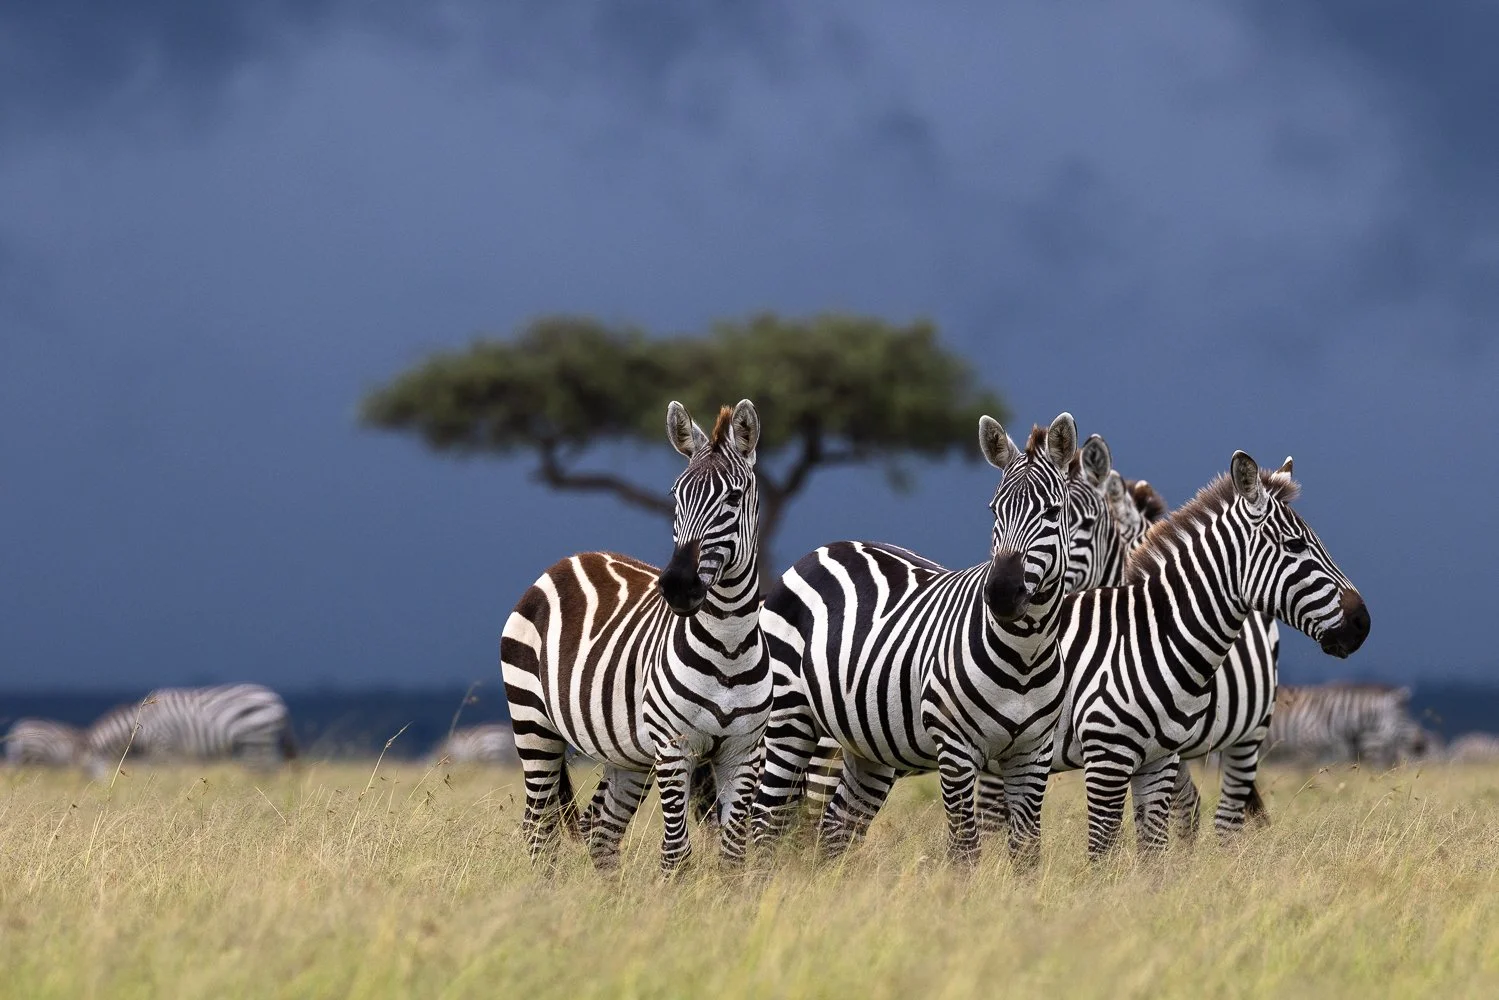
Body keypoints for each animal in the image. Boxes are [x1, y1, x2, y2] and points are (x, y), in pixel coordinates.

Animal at [84, 684, 298, 777]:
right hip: (263, 739)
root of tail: (276, 700)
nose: (96, 790)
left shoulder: (162, 744)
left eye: (86, 770)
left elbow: (161, 772)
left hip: (257, 736)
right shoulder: (172, 750)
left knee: (264, 768)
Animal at [501, 399, 770, 874]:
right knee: (539, 830)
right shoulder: (674, 747)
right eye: (675, 495)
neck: (729, 646)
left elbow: (733, 856)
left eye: (734, 498)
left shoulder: (744, 752)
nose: (677, 585)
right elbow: (677, 854)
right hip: (533, 723)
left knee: (600, 830)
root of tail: (569, 559)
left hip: (626, 754)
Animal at [749, 412, 1079, 867]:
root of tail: (821, 550)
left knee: (835, 828)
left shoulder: (1033, 753)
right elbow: (965, 849)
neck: (1025, 656)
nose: (1000, 594)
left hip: (865, 745)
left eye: (1053, 511)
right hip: (789, 718)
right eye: (994, 510)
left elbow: (1027, 852)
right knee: (763, 822)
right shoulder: (956, 749)